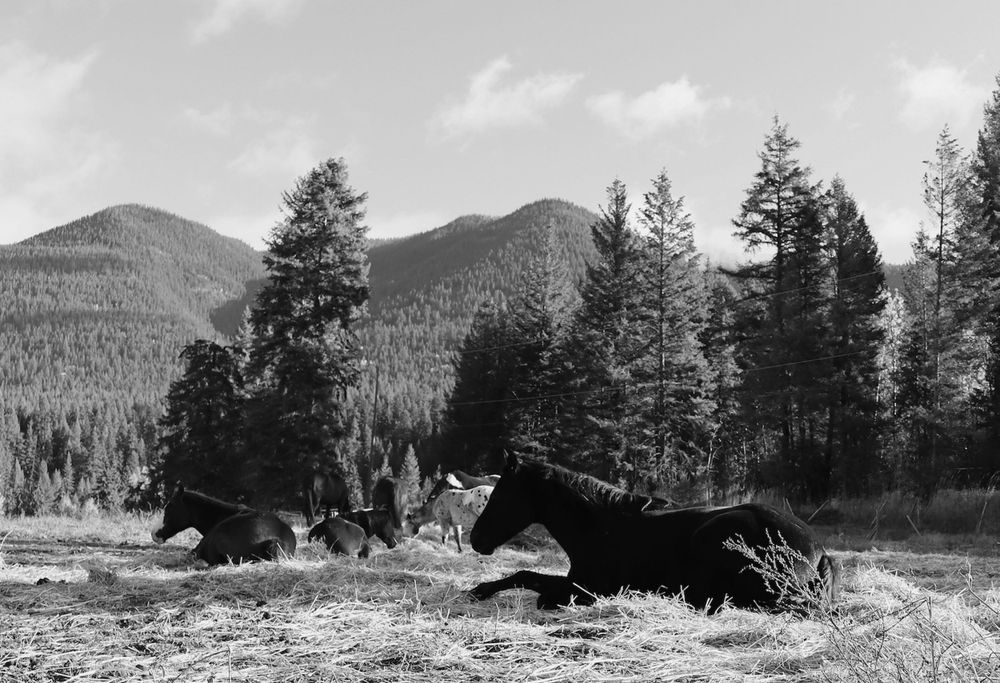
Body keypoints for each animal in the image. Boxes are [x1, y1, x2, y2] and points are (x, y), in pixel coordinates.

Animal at [468, 453, 839, 612]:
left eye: (499, 496)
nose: (476, 540)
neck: (599, 528)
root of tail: (819, 551)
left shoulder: (588, 589)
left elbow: (539, 589)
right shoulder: (575, 580)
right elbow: (525, 575)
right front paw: (480, 590)